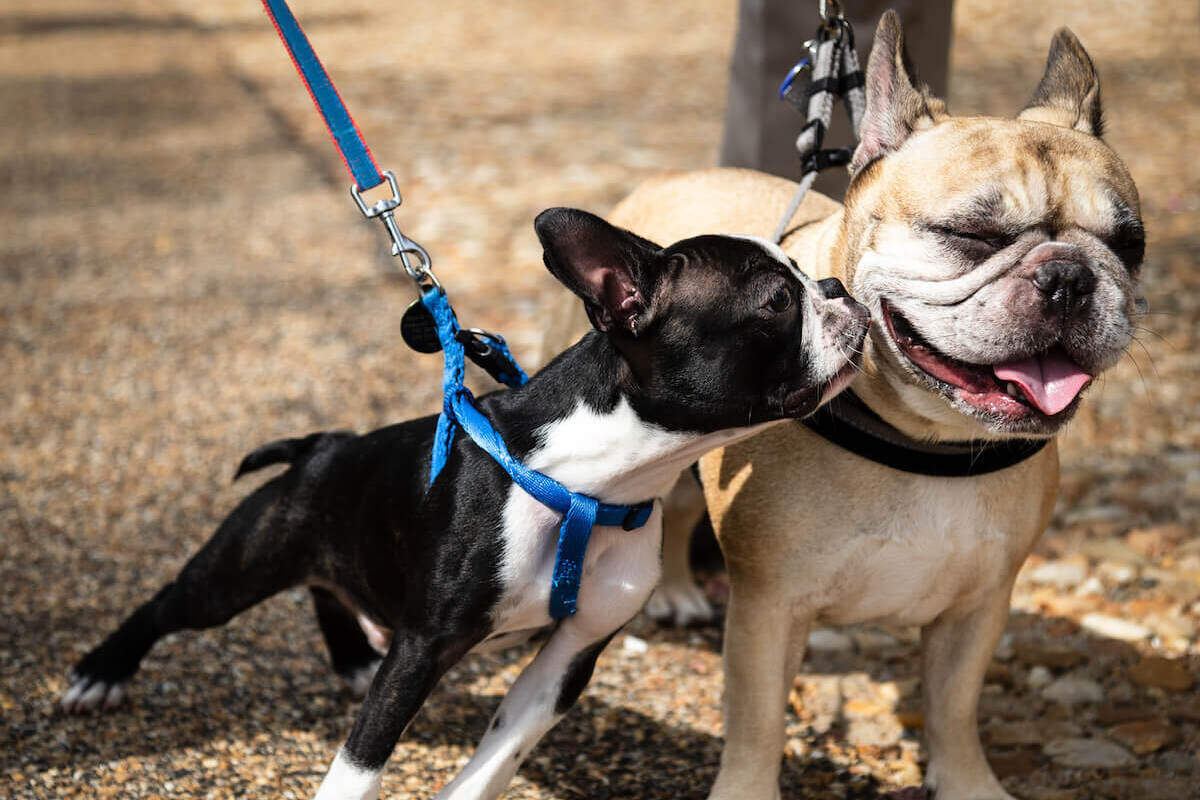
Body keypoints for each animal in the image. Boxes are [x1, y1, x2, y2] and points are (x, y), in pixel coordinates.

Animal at [60, 209, 868, 796]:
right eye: (777, 302)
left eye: (809, 279)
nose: (839, 288)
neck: (595, 485)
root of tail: (324, 444)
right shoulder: (424, 648)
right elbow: (359, 766)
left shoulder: (568, 658)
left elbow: (497, 758)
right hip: (244, 564)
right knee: (168, 603)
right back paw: (100, 673)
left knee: (326, 586)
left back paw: (352, 657)